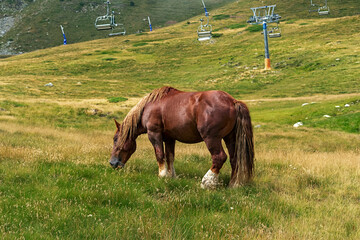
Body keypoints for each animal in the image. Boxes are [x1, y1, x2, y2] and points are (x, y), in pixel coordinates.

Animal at [109, 86, 253, 188]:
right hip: (230, 138)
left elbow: (159, 155)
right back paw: (233, 185)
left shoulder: (154, 134)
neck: (149, 107)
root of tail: (233, 101)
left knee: (219, 157)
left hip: (212, 138)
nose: (112, 163)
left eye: (115, 139)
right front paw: (171, 176)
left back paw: (206, 182)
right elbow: (170, 157)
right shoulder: (169, 138)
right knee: (234, 159)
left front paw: (162, 175)